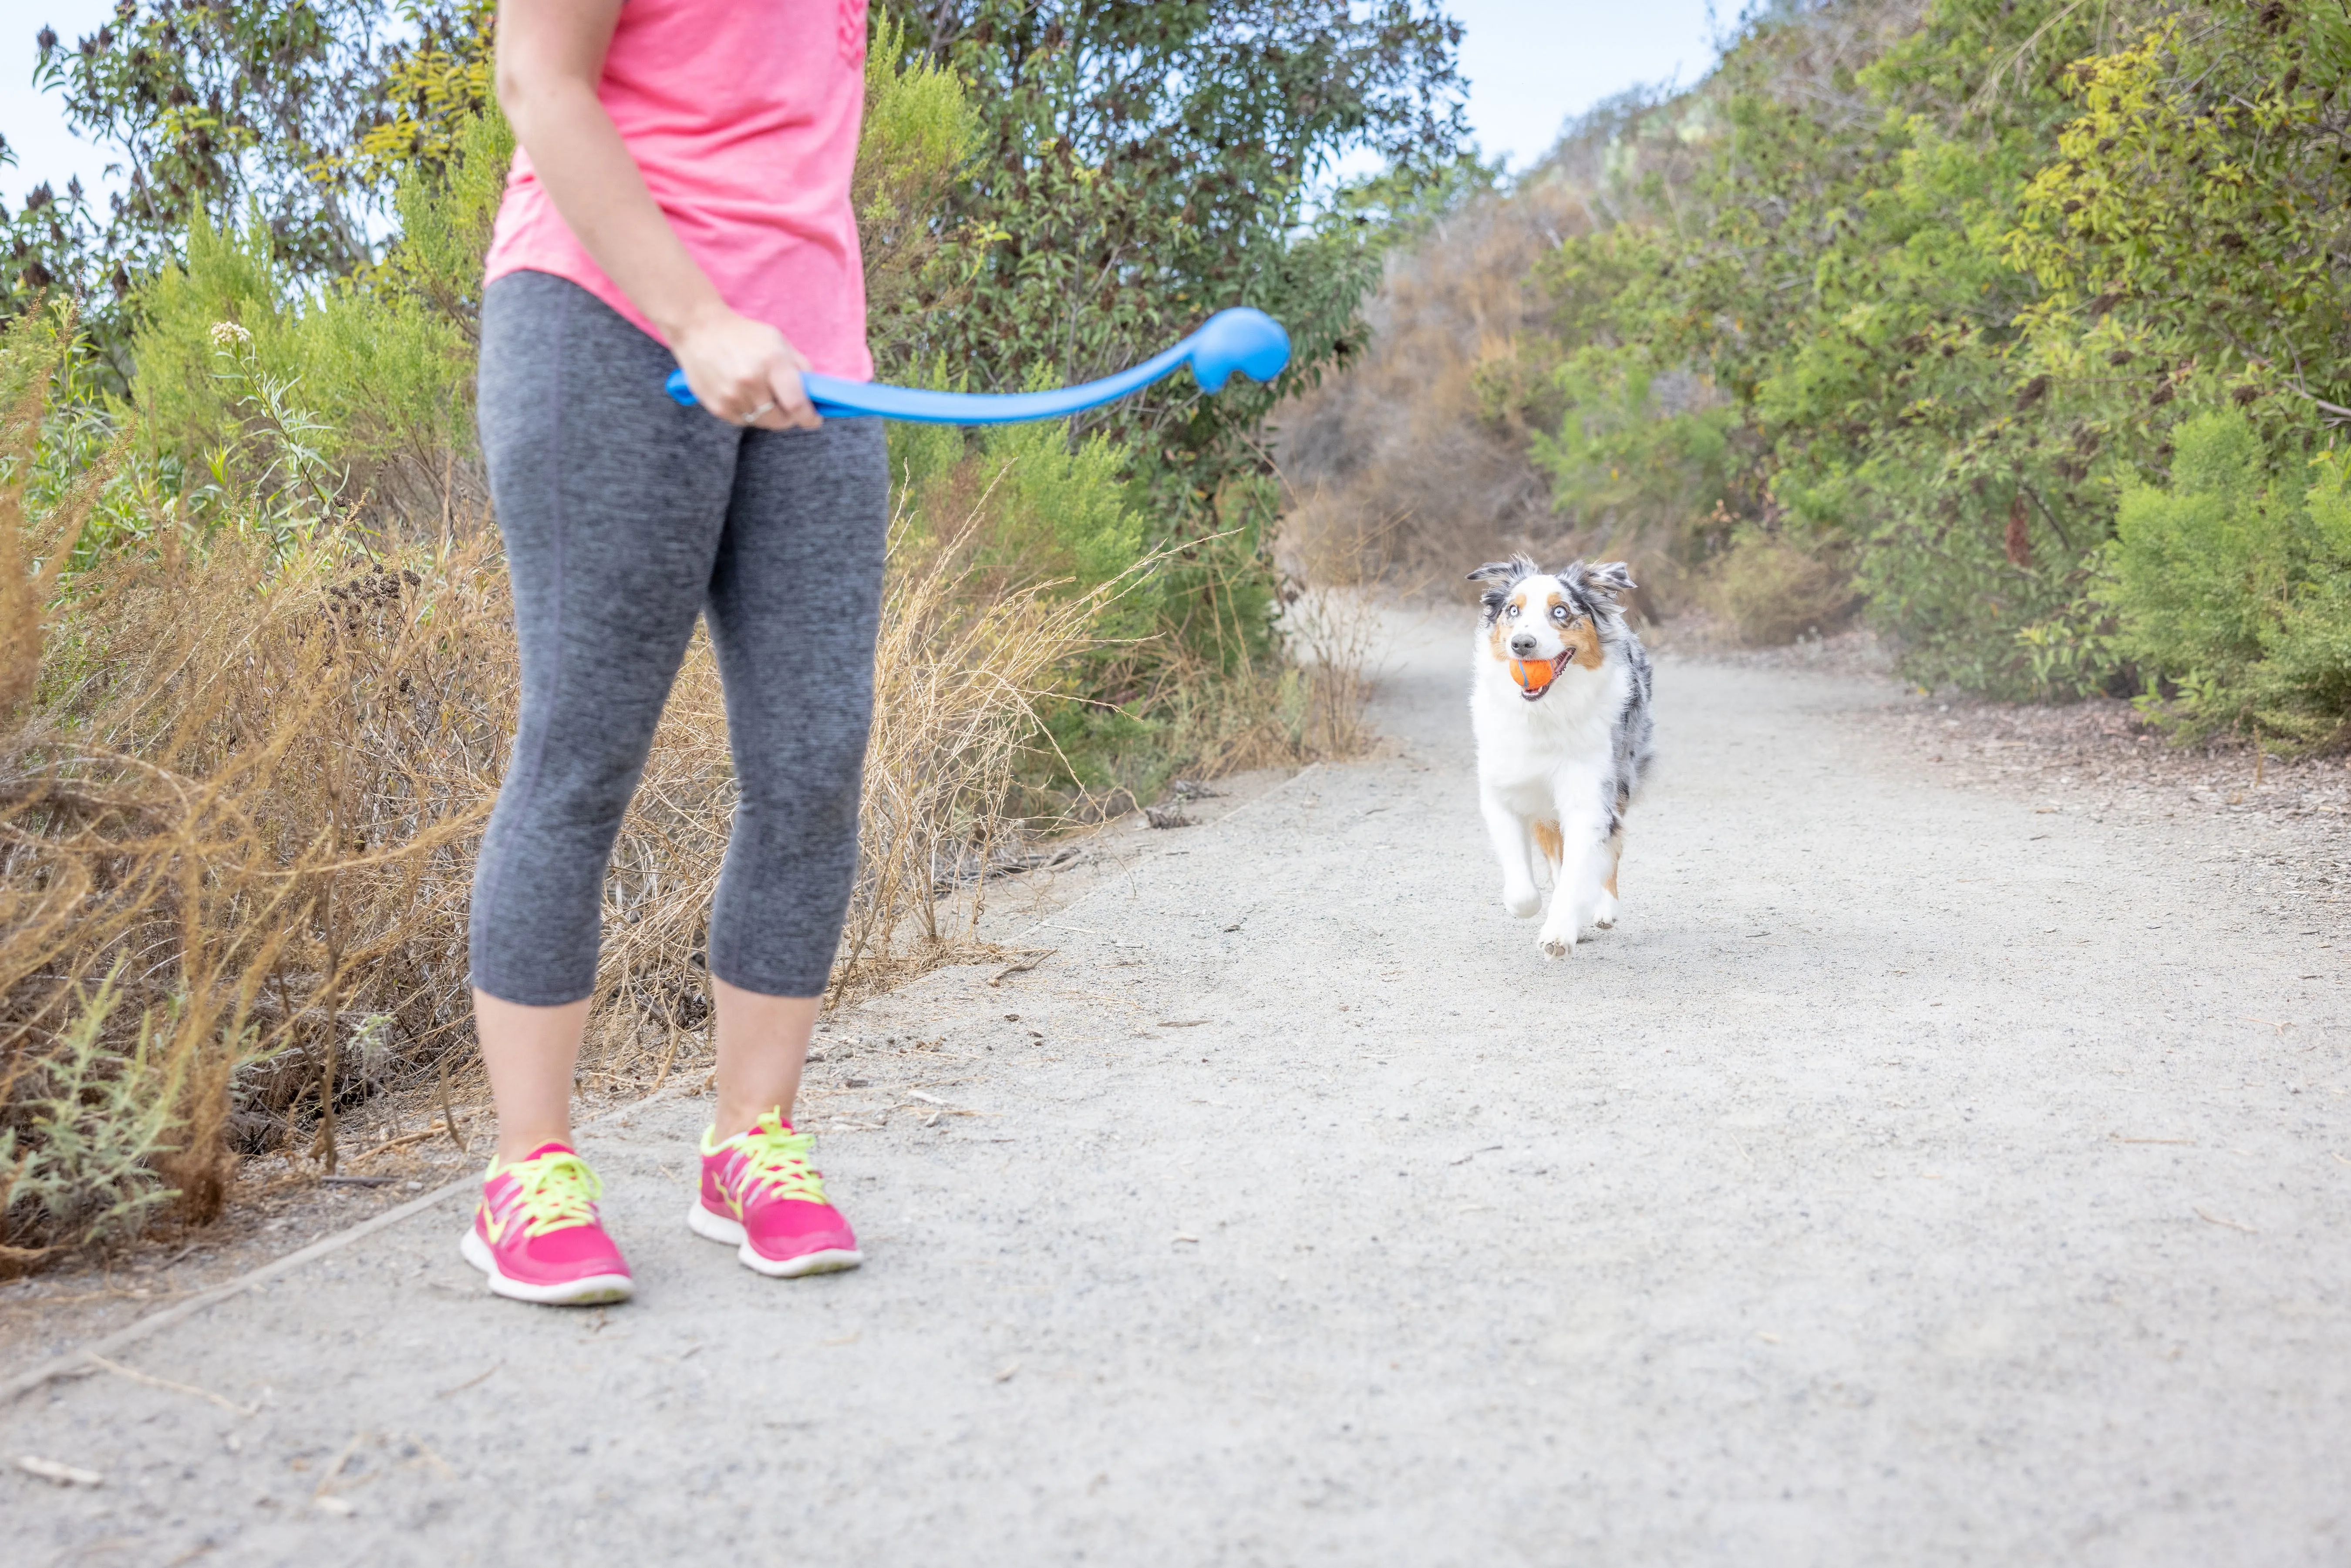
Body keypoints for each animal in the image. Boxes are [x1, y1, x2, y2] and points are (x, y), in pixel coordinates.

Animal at [1467, 557, 1655, 964]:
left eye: (1560, 612)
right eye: (1513, 610)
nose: (1522, 644)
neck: (1544, 713)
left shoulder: (1590, 798)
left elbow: (1580, 868)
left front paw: (1559, 932)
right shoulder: (1503, 794)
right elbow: (1525, 889)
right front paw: (1534, 908)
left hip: (1622, 777)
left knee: (1611, 849)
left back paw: (1603, 908)